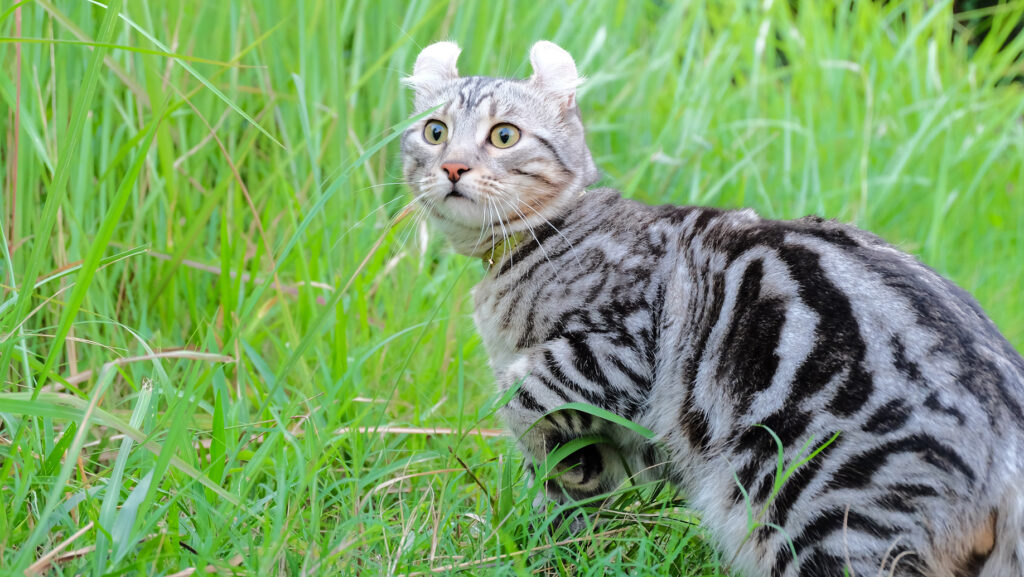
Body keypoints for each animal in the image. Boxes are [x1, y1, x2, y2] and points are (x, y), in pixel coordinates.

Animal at [399, 41, 1024, 577]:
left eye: (504, 136)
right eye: (435, 132)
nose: (453, 167)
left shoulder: (617, 348)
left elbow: (523, 398)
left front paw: (556, 471)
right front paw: (561, 518)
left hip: (821, 509)